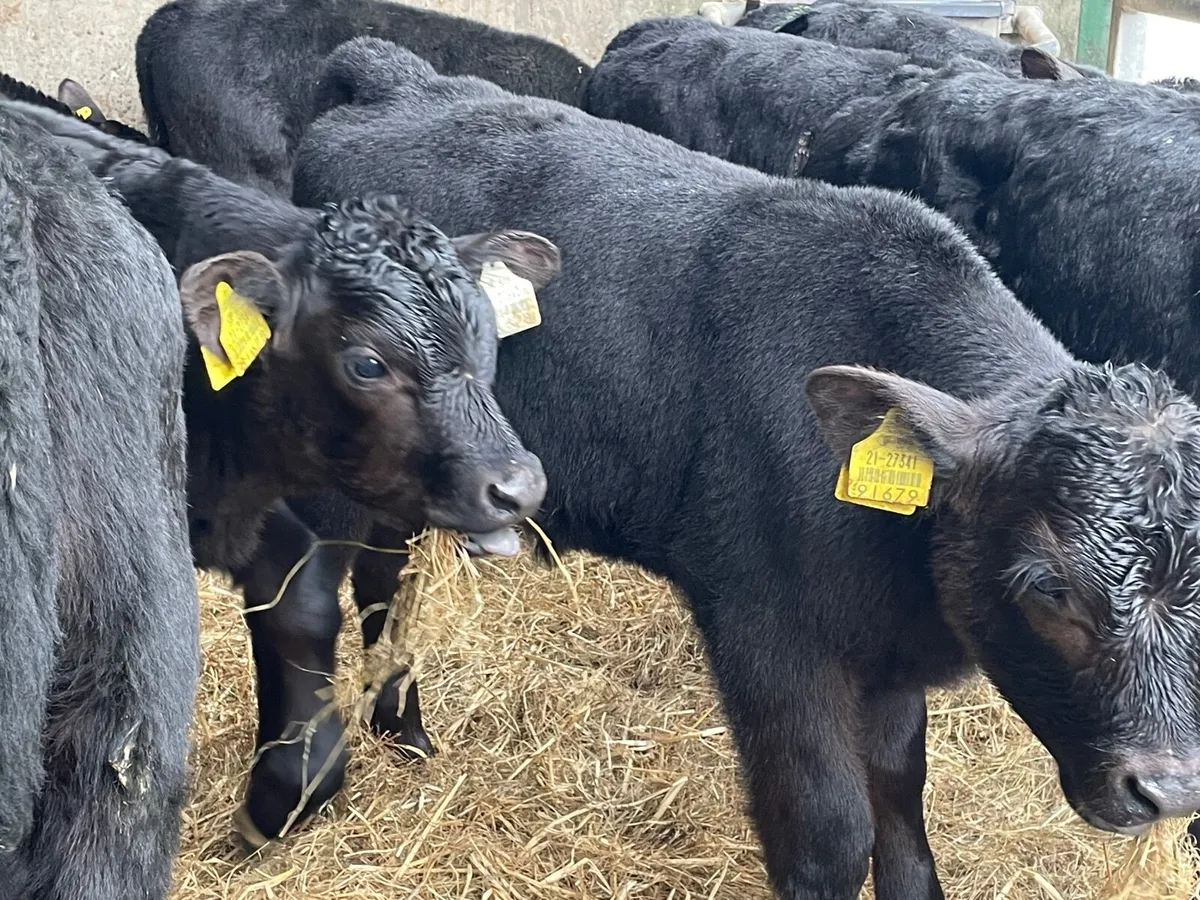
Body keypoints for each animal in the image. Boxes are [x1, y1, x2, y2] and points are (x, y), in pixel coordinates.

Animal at [284, 36, 1200, 899]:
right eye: (1050, 586)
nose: (1169, 789)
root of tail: (394, 81)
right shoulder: (769, 634)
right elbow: (830, 831)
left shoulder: (883, 655)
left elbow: (901, 797)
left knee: (387, 582)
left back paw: (407, 732)